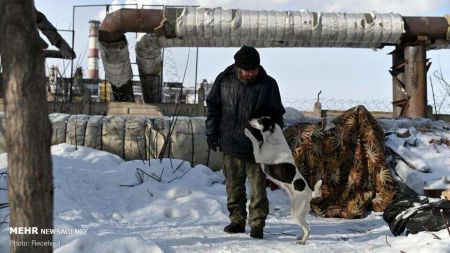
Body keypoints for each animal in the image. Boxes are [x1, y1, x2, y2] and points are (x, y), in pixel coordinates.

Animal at [244, 116, 322, 245]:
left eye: (260, 120)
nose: (249, 119)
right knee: (307, 227)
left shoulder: (259, 156)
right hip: (300, 213)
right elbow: (258, 142)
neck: (273, 139)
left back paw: (303, 241)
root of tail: (310, 193)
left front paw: (247, 132)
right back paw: (301, 237)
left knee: (307, 229)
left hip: (296, 212)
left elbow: (255, 141)